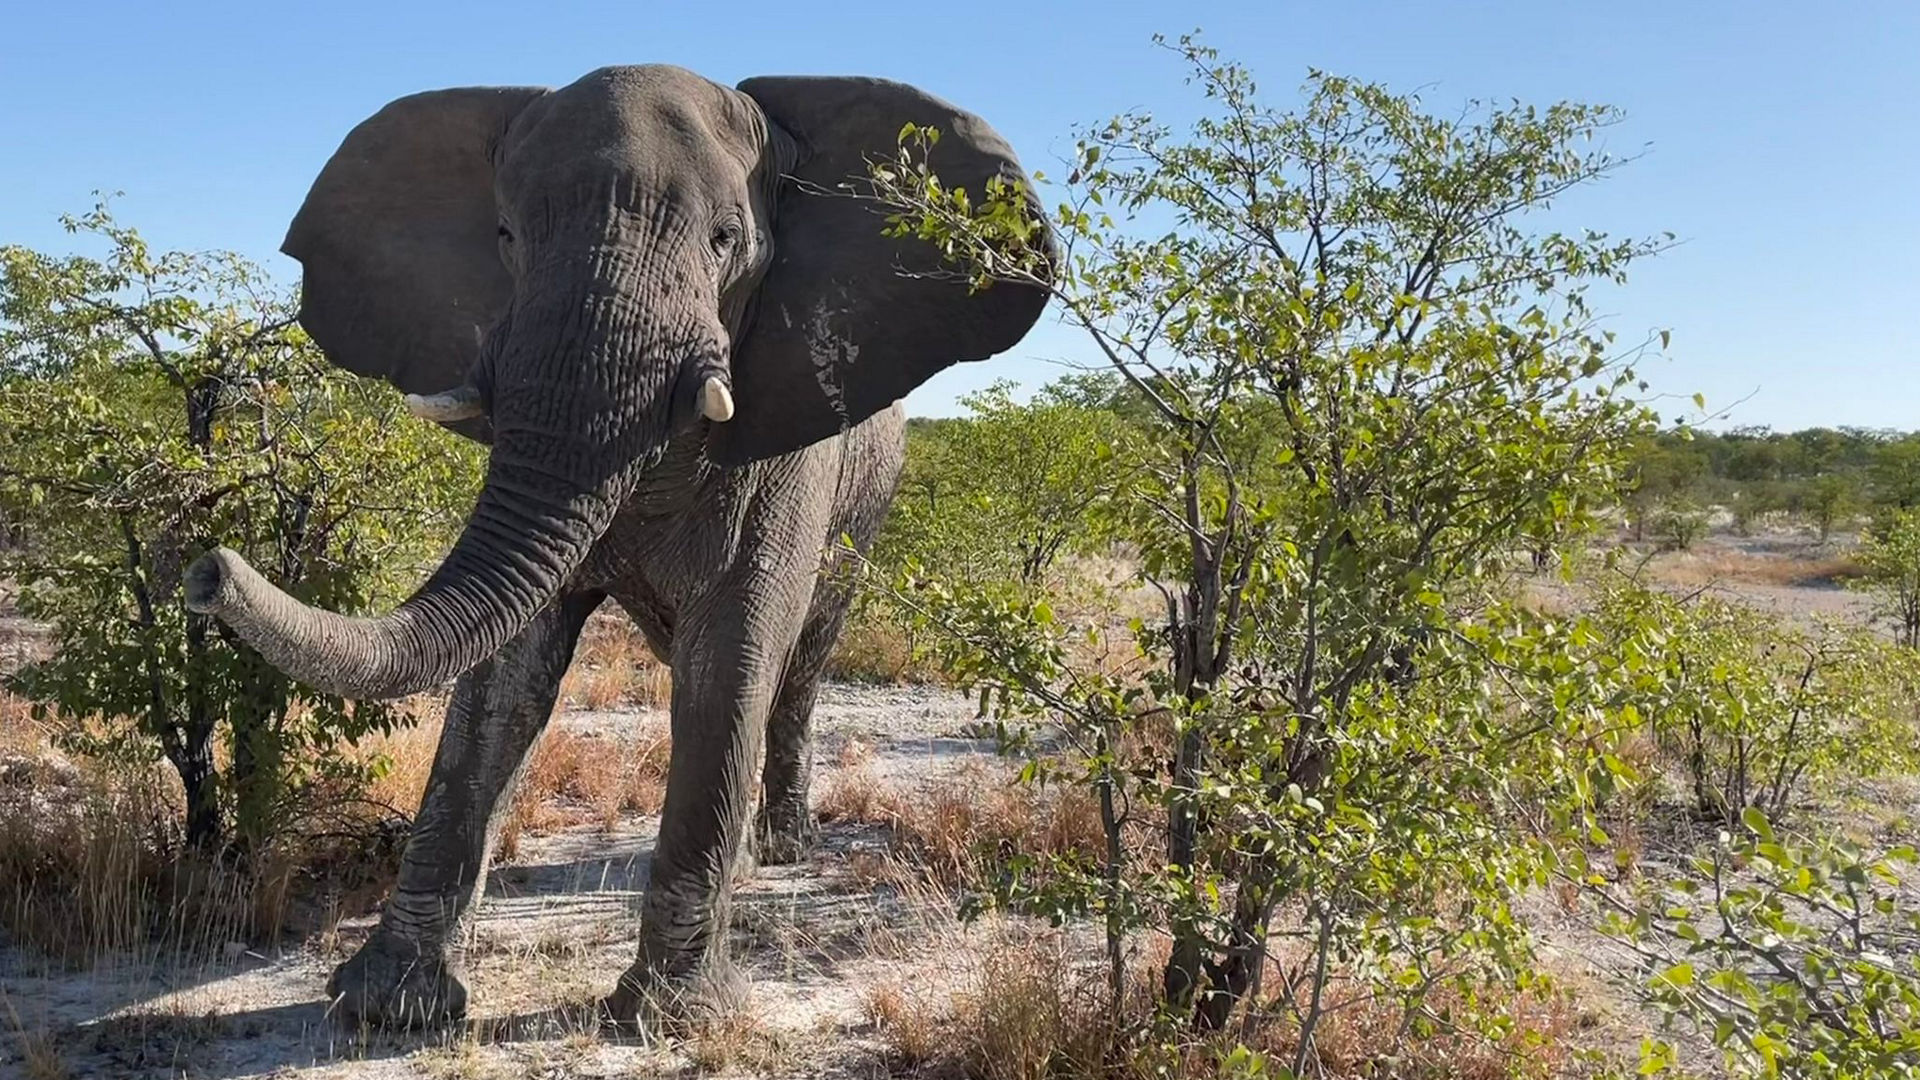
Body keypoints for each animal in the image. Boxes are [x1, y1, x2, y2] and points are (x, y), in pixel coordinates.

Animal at [181, 62, 1052, 1022]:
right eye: (506, 235)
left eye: (725, 239)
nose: (206, 569)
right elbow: (505, 680)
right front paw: (385, 1004)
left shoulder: (788, 440)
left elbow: (731, 661)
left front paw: (668, 1016)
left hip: (870, 498)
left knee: (804, 658)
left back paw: (782, 851)